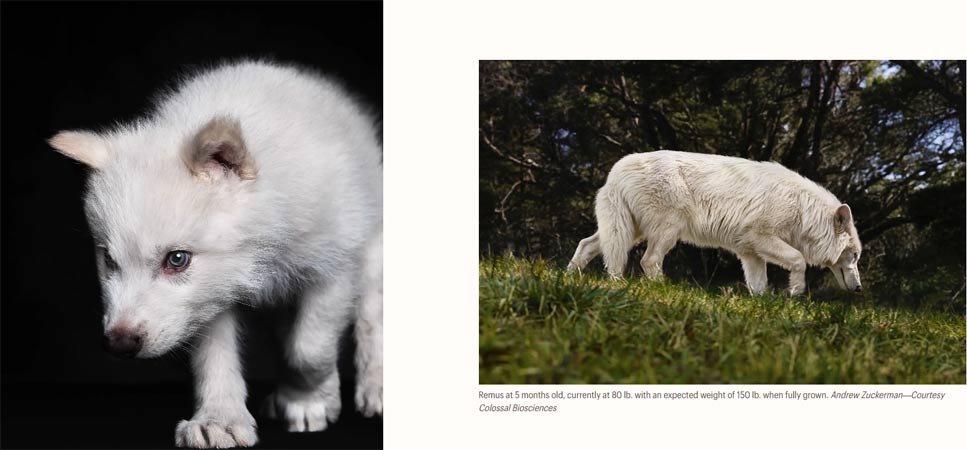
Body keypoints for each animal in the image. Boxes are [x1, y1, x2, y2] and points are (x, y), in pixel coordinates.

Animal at [49, 60, 383, 448]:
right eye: (108, 260)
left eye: (177, 259)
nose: (118, 344)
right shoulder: (209, 298)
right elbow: (216, 358)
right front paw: (219, 420)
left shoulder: (334, 269)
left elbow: (308, 350)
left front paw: (308, 401)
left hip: (372, 248)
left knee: (371, 315)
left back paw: (375, 388)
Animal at [566, 150, 863, 295]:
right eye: (855, 256)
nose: (859, 288)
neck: (803, 210)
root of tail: (616, 171)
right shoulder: (762, 237)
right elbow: (799, 260)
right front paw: (796, 292)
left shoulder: (750, 253)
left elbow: (759, 286)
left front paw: (763, 305)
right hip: (667, 231)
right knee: (648, 260)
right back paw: (662, 287)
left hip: (627, 232)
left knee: (587, 245)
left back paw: (573, 278)